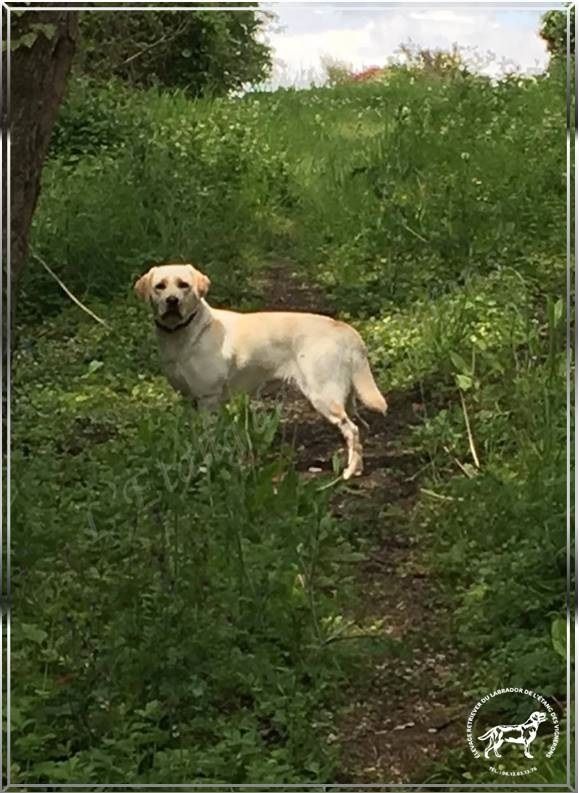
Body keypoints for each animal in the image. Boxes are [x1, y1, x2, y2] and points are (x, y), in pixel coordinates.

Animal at [135, 262, 388, 480]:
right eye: (160, 286)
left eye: (183, 285)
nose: (172, 301)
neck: (185, 333)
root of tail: (345, 329)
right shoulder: (190, 400)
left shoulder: (208, 399)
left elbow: (209, 437)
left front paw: (207, 463)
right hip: (345, 397)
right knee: (360, 428)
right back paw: (357, 468)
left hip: (324, 395)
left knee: (352, 430)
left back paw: (348, 472)